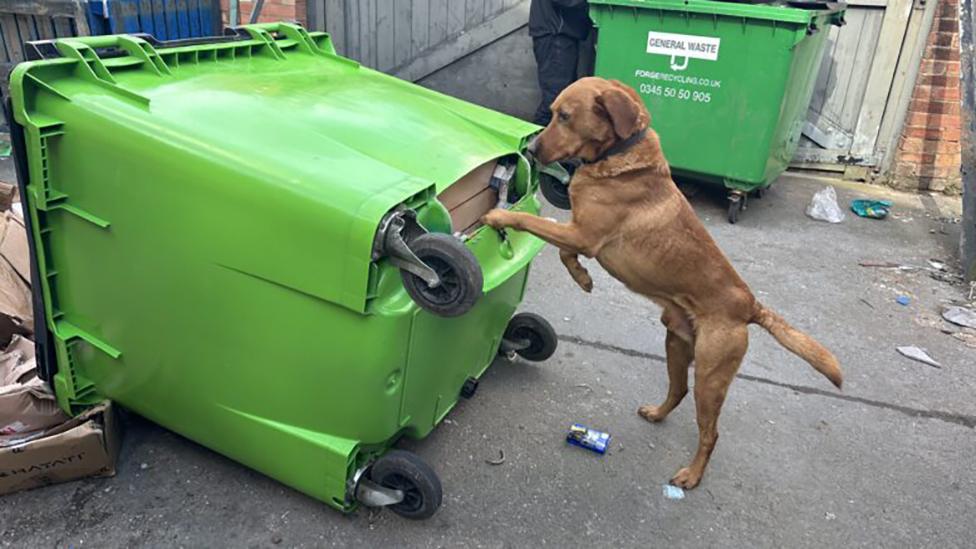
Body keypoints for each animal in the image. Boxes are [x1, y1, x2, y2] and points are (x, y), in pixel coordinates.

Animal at [484, 77, 844, 488]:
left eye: (564, 116)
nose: (529, 149)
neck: (619, 155)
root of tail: (750, 305)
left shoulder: (583, 235)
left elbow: (534, 224)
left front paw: (499, 216)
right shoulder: (579, 235)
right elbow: (563, 254)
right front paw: (582, 277)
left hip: (711, 376)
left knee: (710, 432)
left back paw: (692, 475)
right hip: (675, 344)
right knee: (679, 389)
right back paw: (657, 413)